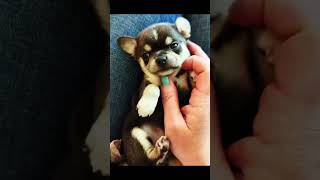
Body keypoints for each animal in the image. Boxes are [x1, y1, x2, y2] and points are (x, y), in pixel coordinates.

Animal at [111, 17, 194, 166]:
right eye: (146, 55)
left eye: (174, 45)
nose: (161, 59)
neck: (171, 77)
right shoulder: (143, 87)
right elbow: (152, 87)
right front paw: (146, 106)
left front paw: (194, 75)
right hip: (135, 134)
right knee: (151, 159)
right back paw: (161, 149)